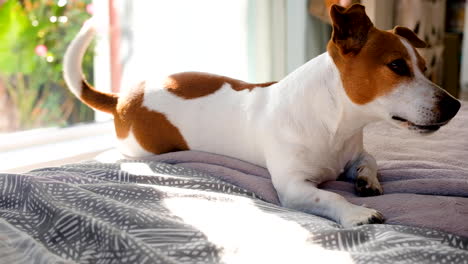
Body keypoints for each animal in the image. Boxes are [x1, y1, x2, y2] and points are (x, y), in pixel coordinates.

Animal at [64, 4, 462, 227]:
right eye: (397, 66)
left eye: (425, 67)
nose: (456, 106)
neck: (334, 123)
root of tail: (123, 99)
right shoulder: (294, 186)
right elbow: (331, 197)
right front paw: (356, 213)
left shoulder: (355, 153)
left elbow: (370, 161)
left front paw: (367, 181)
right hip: (139, 149)